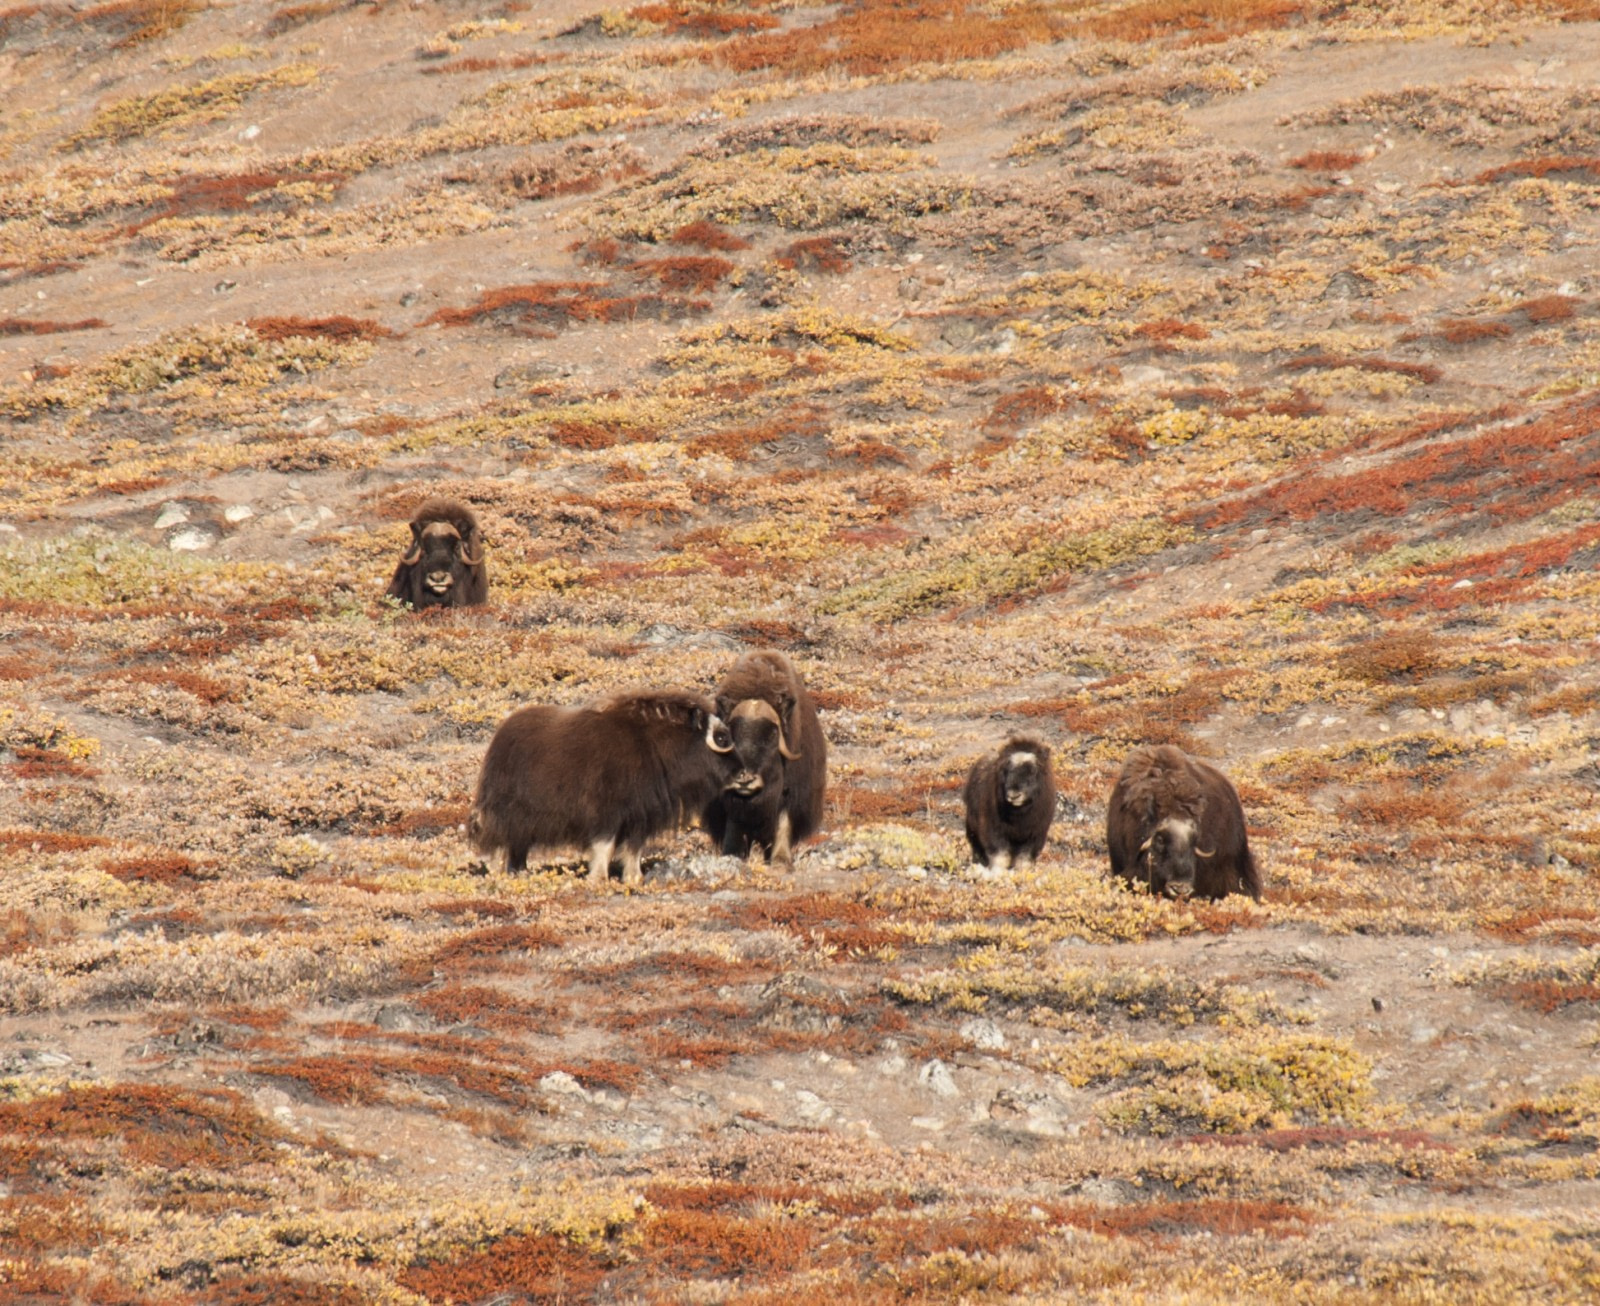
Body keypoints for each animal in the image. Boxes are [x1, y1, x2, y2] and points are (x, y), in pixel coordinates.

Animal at [467, 688, 732, 883]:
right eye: (721, 737)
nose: (740, 774)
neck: (655, 745)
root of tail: (499, 736)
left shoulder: (640, 815)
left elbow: (634, 848)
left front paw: (634, 879)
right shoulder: (607, 812)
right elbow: (605, 844)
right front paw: (599, 879)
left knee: (518, 845)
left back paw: (519, 871)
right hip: (507, 811)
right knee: (500, 839)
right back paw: (498, 872)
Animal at [704, 649, 825, 864]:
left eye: (772, 734)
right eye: (730, 733)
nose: (744, 778)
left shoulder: (790, 791)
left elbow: (784, 821)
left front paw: (781, 862)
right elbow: (733, 822)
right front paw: (732, 853)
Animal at [966, 739, 1056, 870]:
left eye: (1033, 771)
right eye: (1007, 770)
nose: (1013, 795)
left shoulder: (1035, 834)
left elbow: (1025, 857)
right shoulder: (993, 829)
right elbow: (1000, 854)